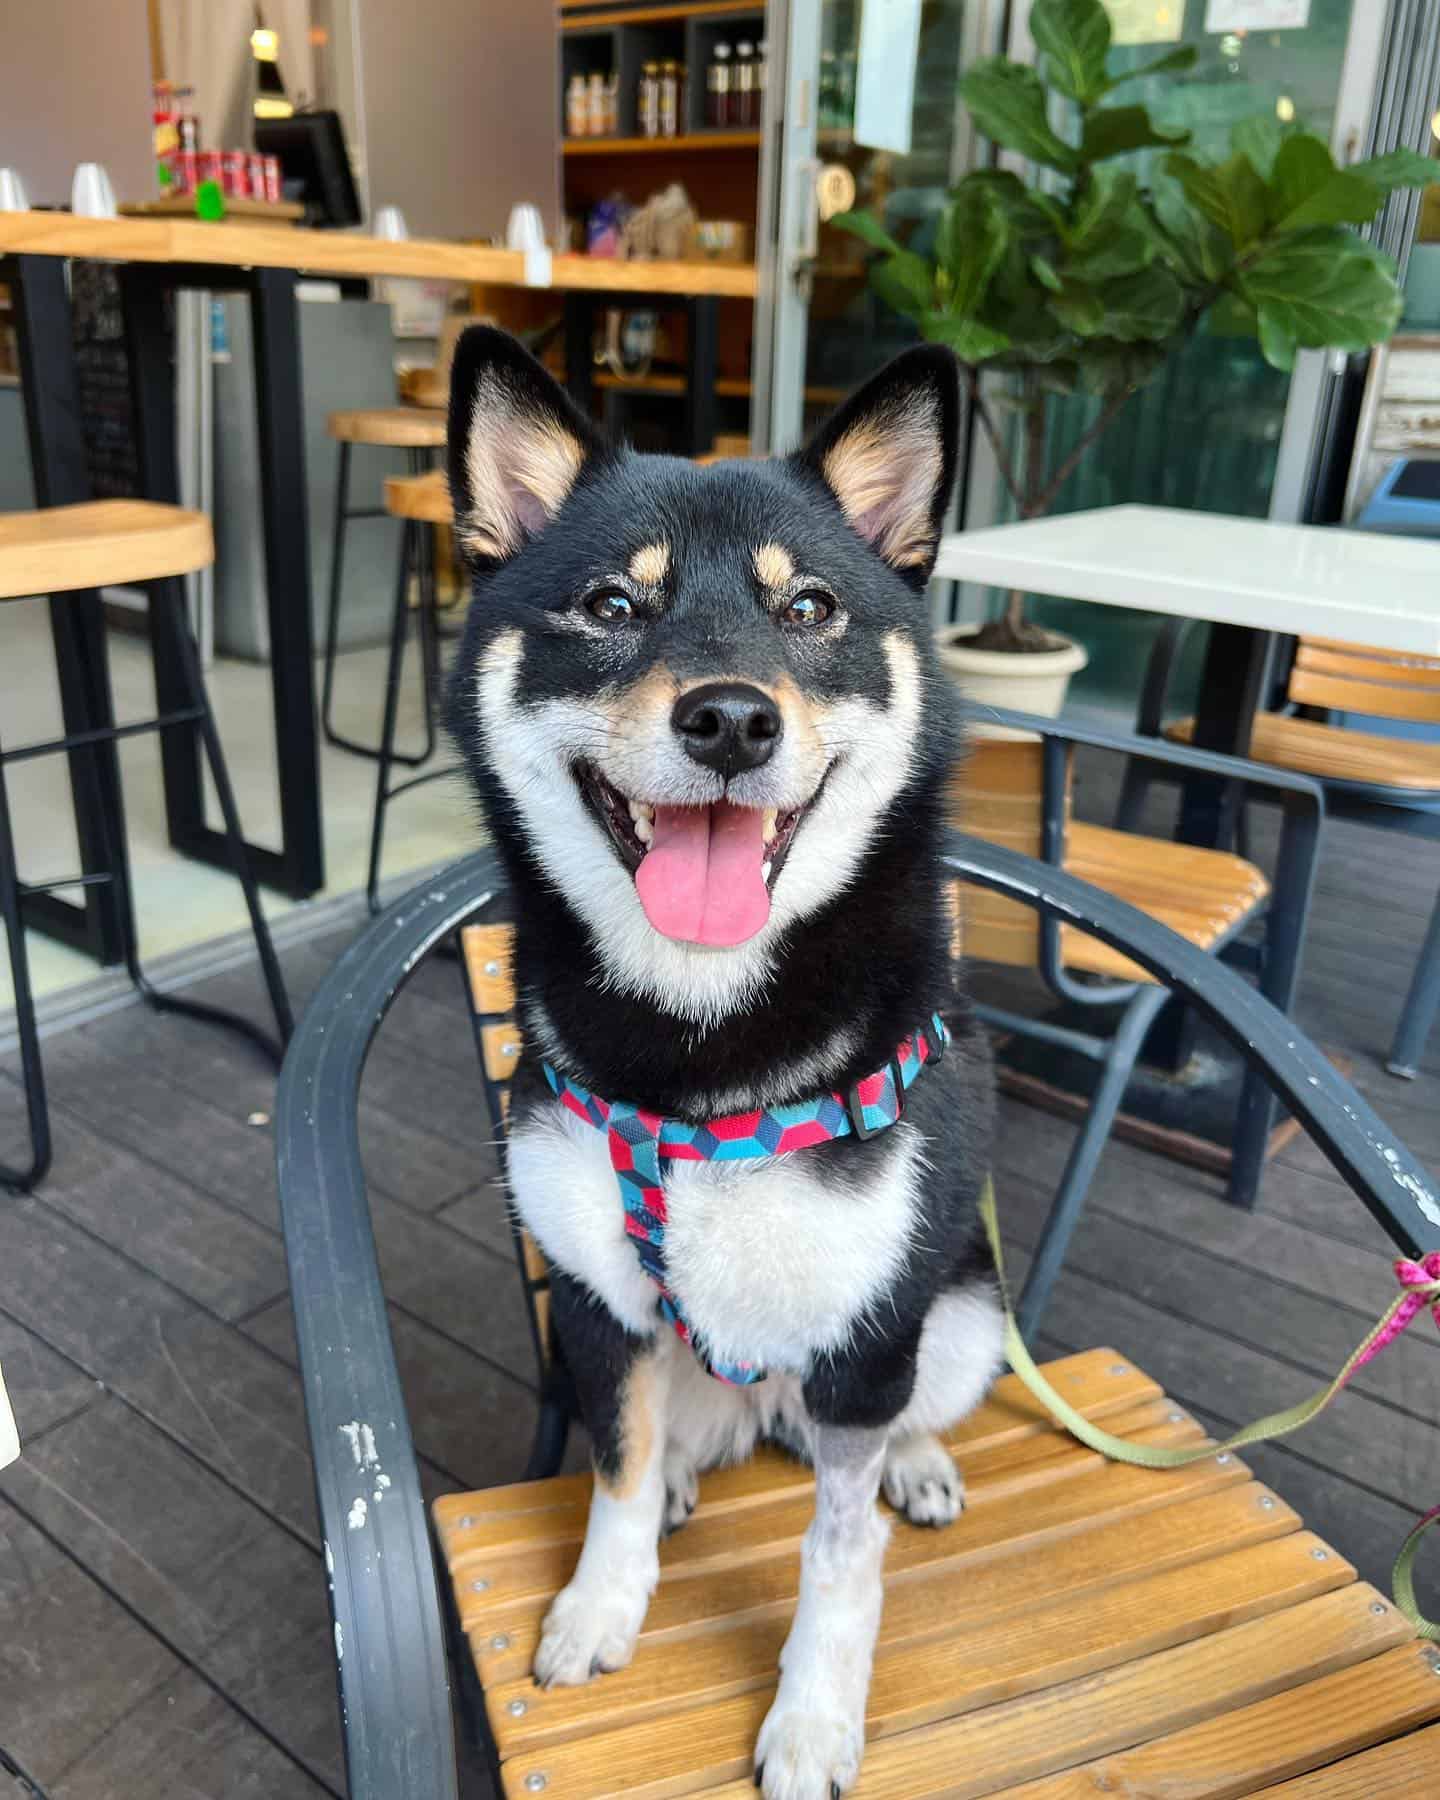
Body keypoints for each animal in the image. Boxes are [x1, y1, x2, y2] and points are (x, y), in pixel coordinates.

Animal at [450, 327, 1000, 1800]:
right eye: (609, 606)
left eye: (809, 608)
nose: (732, 720)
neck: (700, 1058)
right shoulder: (592, 1297)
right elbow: (617, 1471)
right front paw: (601, 1602)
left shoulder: (868, 1335)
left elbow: (839, 1554)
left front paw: (812, 1715)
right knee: (675, 1429)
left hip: (965, 1316)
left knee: (894, 1436)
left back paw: (918, 1467)